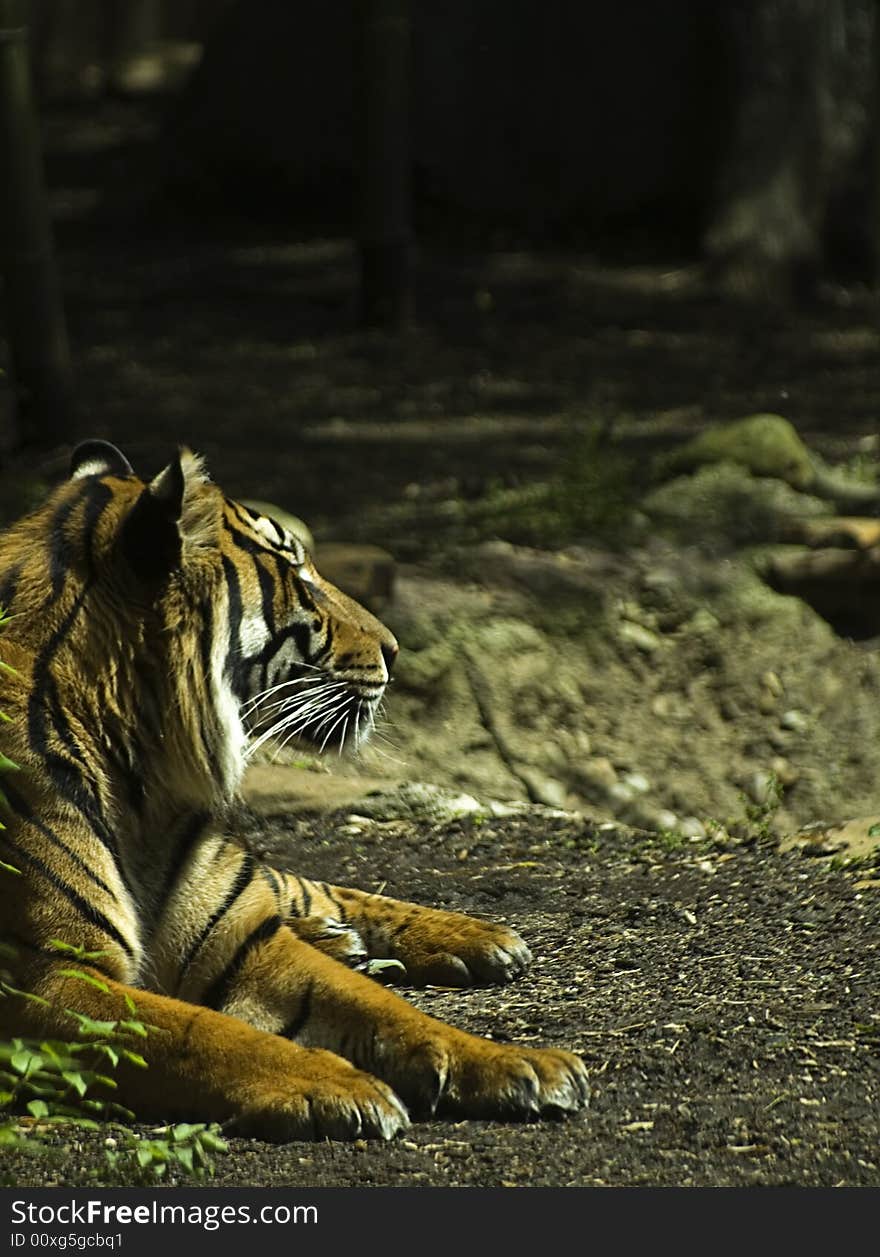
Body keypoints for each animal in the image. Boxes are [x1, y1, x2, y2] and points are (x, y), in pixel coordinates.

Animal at [1, 439, 590, 1141]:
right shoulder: (45, 979)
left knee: (302, 887)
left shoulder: (242, 940)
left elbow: (384, 1008)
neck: (146, 776)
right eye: (296, 573)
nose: (396, 648)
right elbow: (200, 1032)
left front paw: (517, 1063)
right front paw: (334, 1085)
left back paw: (464, 937)